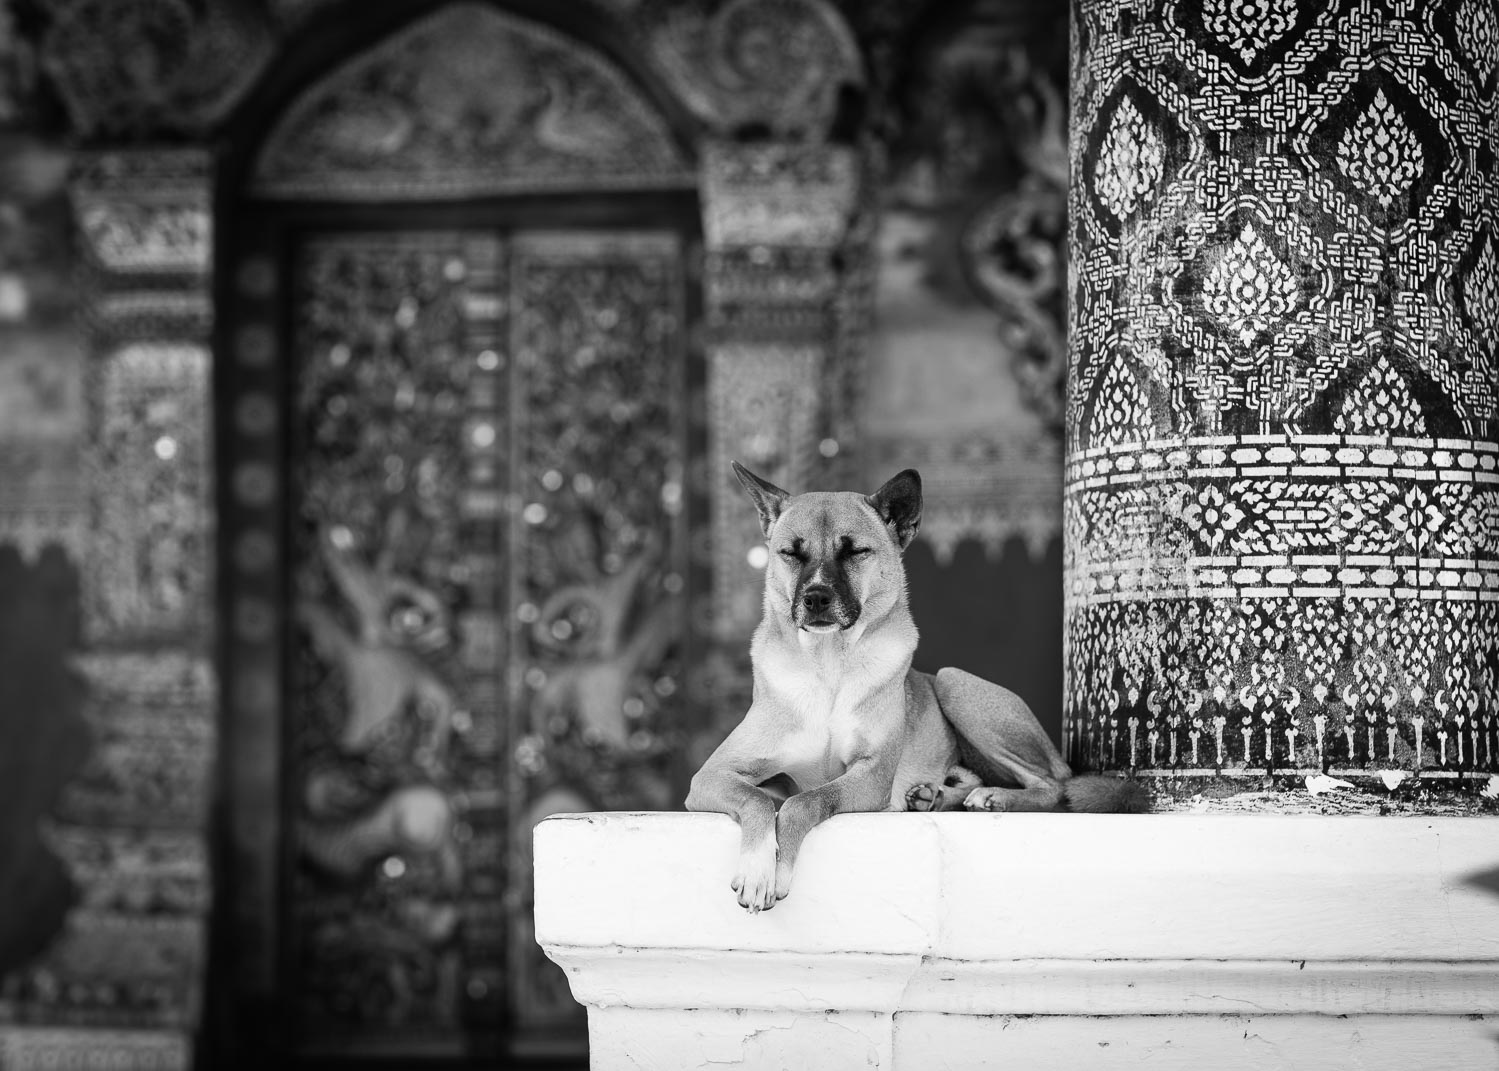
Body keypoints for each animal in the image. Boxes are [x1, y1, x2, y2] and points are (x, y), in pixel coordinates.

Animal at [683, 462, 1145, 912]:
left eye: (855, 551)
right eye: (791, 554)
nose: (815, 598)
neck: (829, 666)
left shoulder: (870, 777)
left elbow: (804, 802)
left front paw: (774, 871)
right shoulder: (711, 776)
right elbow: (760, 798)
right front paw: (758, 868)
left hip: (954, 683)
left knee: (1053, 785)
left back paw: (995, 797)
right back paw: (934, 796)